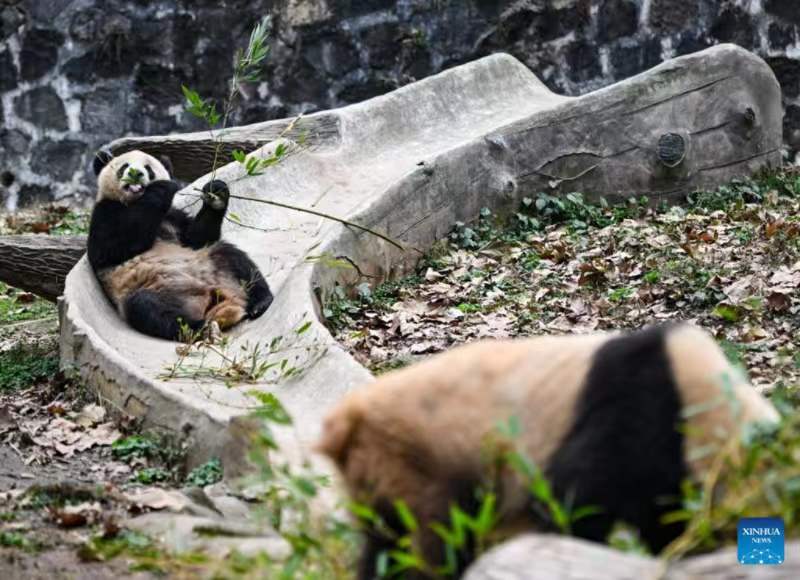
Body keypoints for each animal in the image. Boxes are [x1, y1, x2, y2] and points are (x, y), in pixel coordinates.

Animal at [87, 148, 274, 340]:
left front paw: (216, 193)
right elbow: (112, 248)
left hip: (214, 266)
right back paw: (202, 327)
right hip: (158, 292)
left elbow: (197, 238)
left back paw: (260, 302)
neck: (135, 202)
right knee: (149, 309)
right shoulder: (105, 212)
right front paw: (161, 189)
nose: (135, 174)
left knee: (233, 258)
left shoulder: (173, 216)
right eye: (124, 166)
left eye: (148, 169)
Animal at [318, 324, 780, 576]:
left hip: (382, 476)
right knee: (437, 544)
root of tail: (344, 424)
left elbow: (665, 520)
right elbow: (573, 503)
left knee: (385, 548)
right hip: (422, 460)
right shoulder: (637, 411)